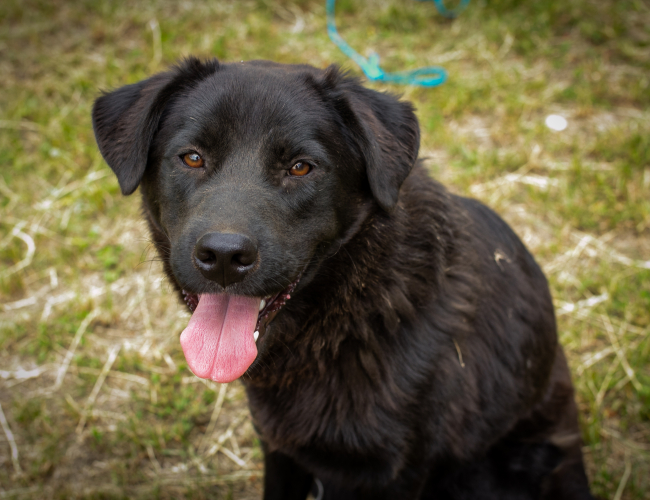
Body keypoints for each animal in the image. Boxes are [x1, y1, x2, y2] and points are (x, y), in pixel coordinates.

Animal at [91, 59, 592, 500]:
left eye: (300, 167)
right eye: (192, 158)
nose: (224, 257)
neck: (352, 313)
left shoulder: (396, 473)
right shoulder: (281, 449)